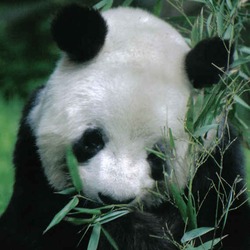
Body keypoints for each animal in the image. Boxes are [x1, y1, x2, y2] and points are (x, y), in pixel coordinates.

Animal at [0, 3, 250, 250]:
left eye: (156, 156)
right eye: (92, 141)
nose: (114, 200)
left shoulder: (216, 165)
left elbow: (223, 224)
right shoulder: (35, 175)